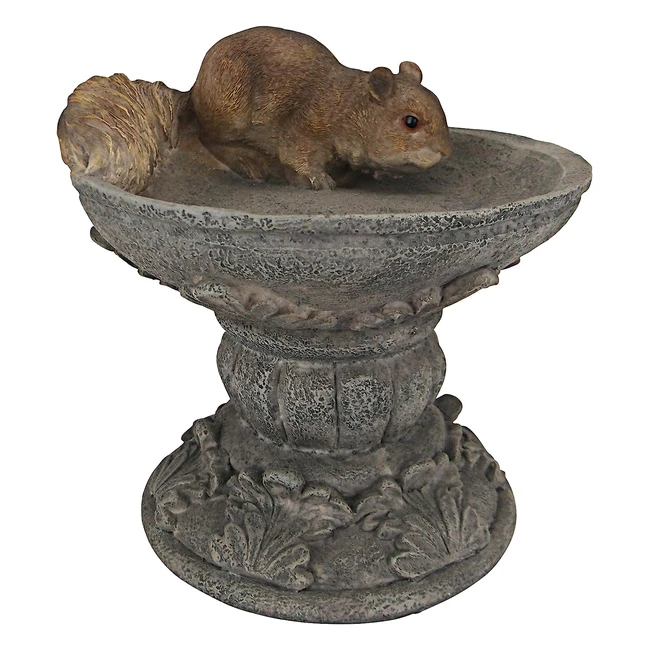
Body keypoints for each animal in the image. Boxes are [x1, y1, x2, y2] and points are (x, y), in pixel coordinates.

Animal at [191, 26, 452, 190]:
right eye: (411, 122)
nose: (446, 151)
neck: (348, 108)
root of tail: (195, 87)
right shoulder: (304, 126)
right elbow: (295, 155)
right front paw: (320, 180)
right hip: (229, 108)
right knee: (208, 139)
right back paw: (248, 164)